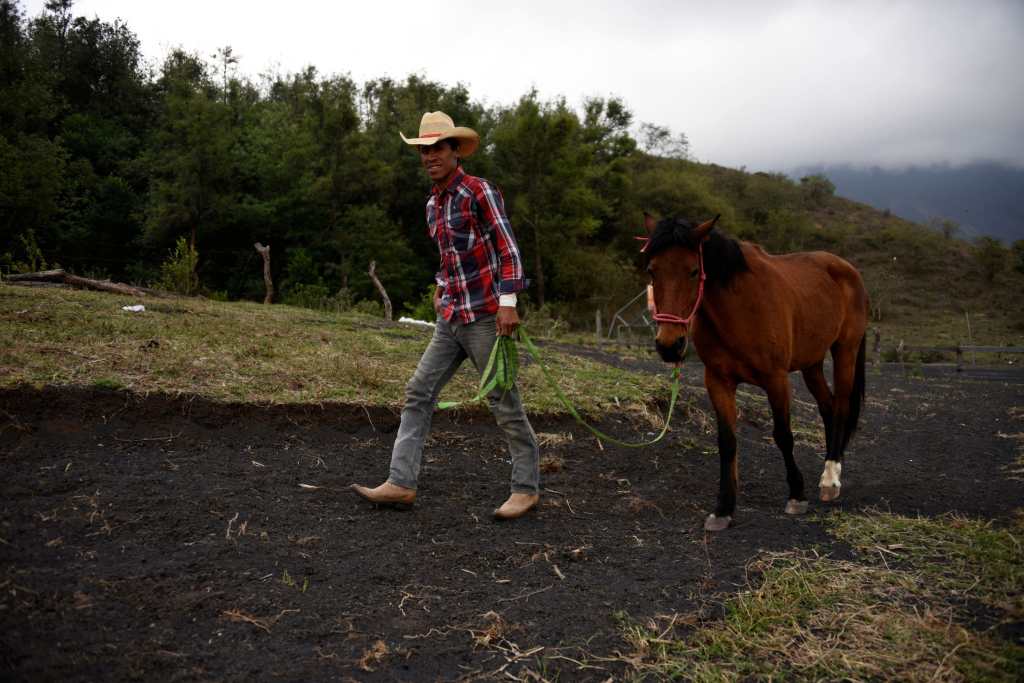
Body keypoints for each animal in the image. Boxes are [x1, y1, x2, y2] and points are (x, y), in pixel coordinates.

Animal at [642, 214, 868, 531]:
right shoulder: (718, 381)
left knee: (841, 407)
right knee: (828, 406)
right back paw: (828, 471)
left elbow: (783, 435)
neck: (739, 308)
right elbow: (727, 442)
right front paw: (723, 509)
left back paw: (830, 480)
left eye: (693, 271)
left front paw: (796, 495)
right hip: (811, 363)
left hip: (845, 351)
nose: (669, 346)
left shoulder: (776, 380)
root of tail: (846, 267)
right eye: (652, 270)